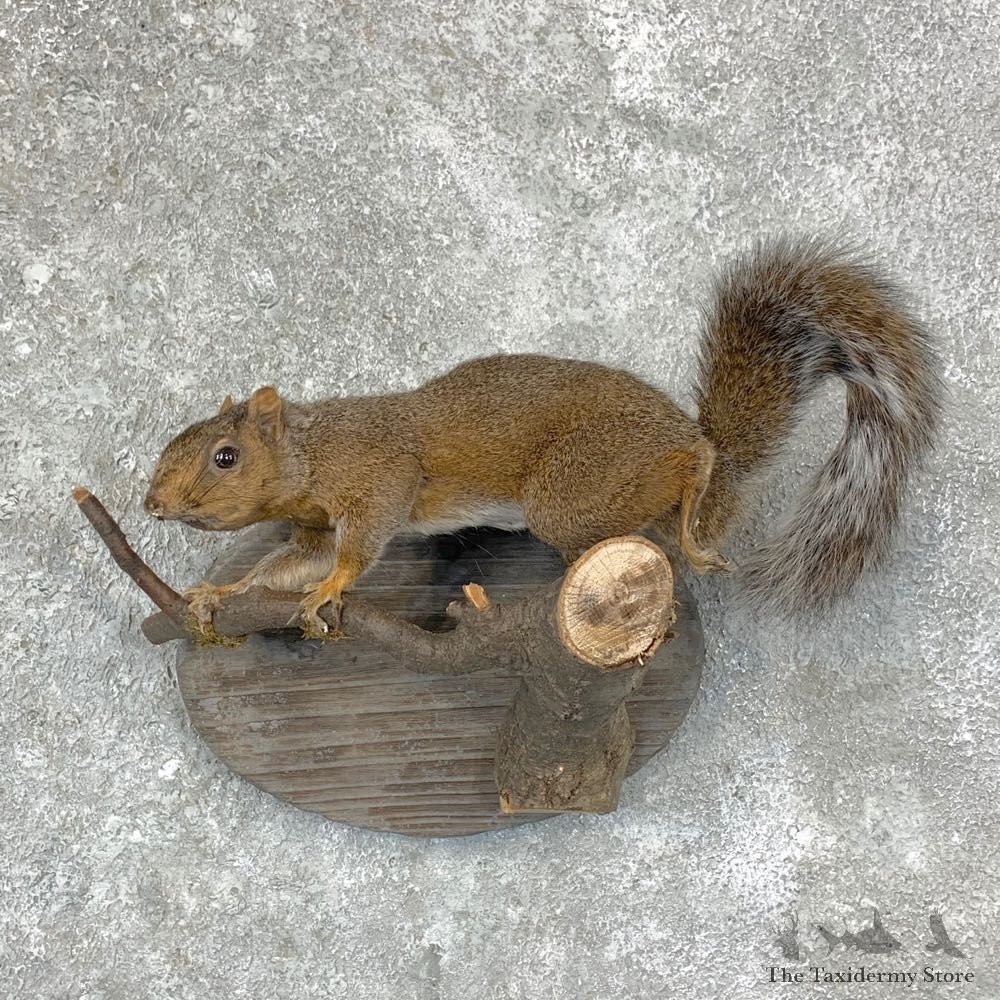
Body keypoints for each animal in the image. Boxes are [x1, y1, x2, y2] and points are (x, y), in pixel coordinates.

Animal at [144, 237, 940, 636]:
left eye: (226, 456)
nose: (152, 504)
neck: (312, 450)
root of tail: (684, 432)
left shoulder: (380, 477)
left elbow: (354, 550)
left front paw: (330, 590)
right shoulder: (311, 524)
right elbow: (282, 566)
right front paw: (221, 590)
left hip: (578, 486)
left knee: (693, 467)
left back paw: (692, 524)